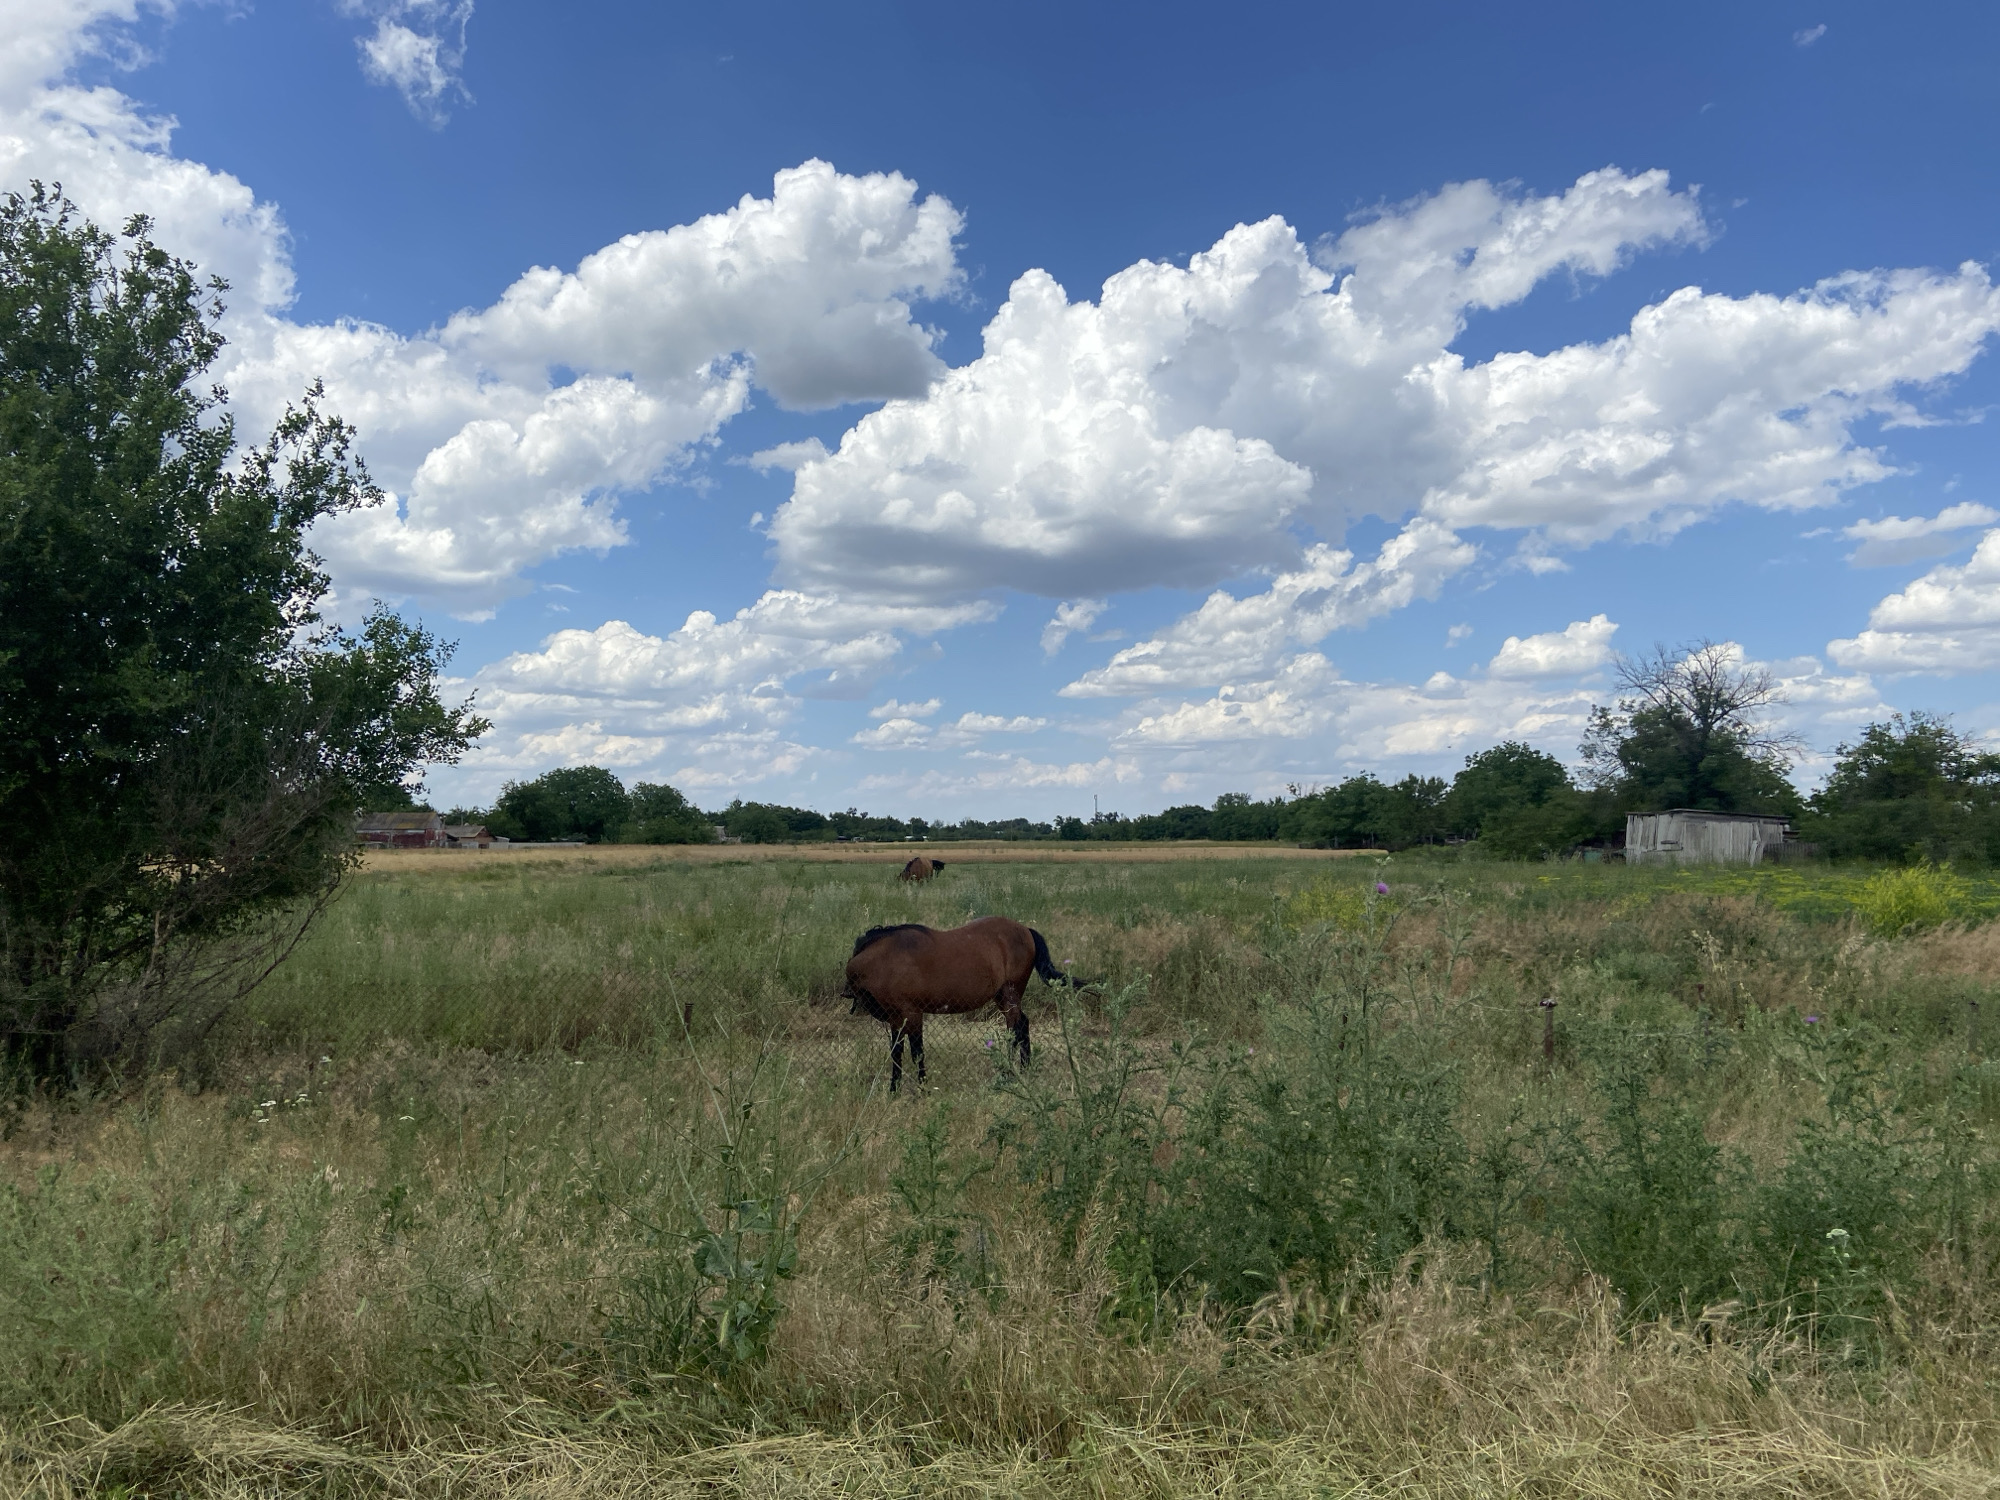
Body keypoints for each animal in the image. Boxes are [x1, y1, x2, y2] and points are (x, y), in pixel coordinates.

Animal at [843, 916, 1070, 1091]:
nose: (845, 992)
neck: (887, 959)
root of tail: (1025, 930)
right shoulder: (895, 1018)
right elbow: (896, 1053)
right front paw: (894, 1089)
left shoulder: (913, 1014)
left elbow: (917, 1052)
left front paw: (923, 1089)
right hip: (1003, 998)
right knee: (1022, 1025)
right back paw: (1024, 1070)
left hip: (1010, 995)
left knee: (1014, 1030)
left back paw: (1007, 1075)